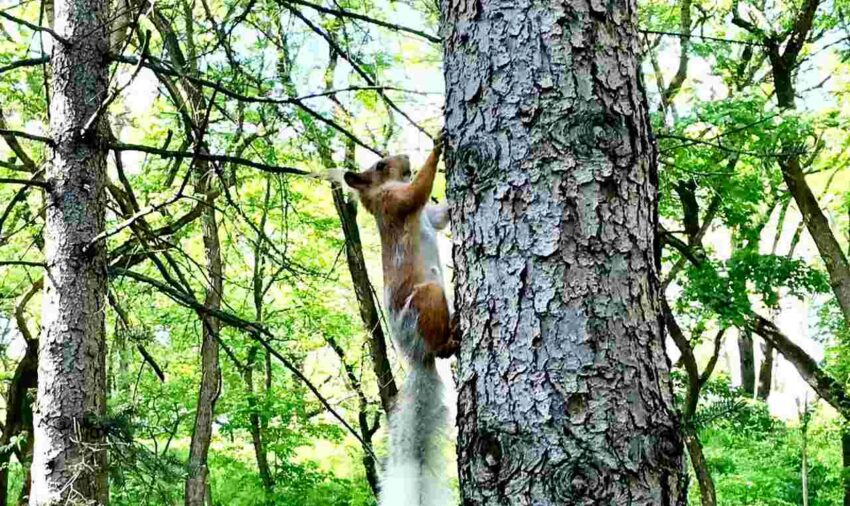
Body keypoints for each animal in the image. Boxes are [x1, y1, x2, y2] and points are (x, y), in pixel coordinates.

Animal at [342, 139, 458, 506]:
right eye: (379, 166)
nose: (406, 157)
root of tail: (417, 357)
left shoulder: (428, 216)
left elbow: (439, 216)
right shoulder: (394, 202)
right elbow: (416, 193)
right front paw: (437, 145)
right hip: (428, 299)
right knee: (439, 347)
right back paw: (450, 342)